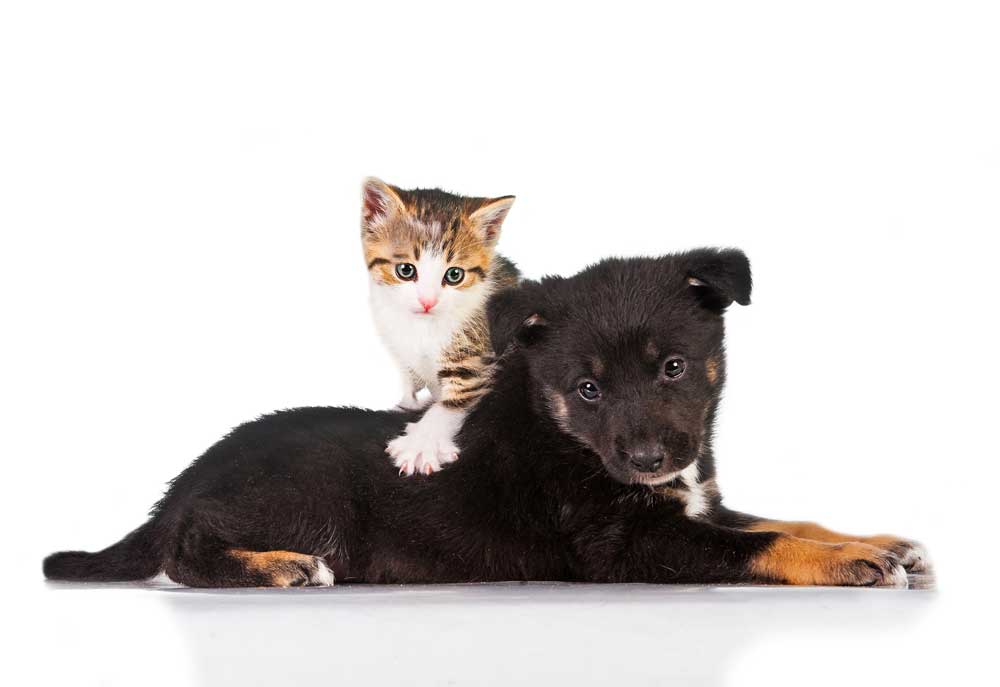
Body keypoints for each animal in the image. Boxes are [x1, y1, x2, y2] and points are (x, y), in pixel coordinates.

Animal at [43, 250, 924, 588]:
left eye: (673, 367)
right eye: (587, 388)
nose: (645, 458)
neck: (566, 438)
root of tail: (191, 470)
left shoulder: (692, 500)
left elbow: (784, 517)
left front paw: (878, 539)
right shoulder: (625, 543)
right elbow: (760, 542)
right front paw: (850, 561)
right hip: (309, 497)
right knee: (185, 548)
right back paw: (279, 566)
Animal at [360, 177, 520, 476]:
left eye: (454, 274)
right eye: (405, 270)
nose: (427, 302)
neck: (423, 326)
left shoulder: (480, 357)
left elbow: (453, 402)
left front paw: (422, 443)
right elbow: (409, 377)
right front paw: (409, 403)